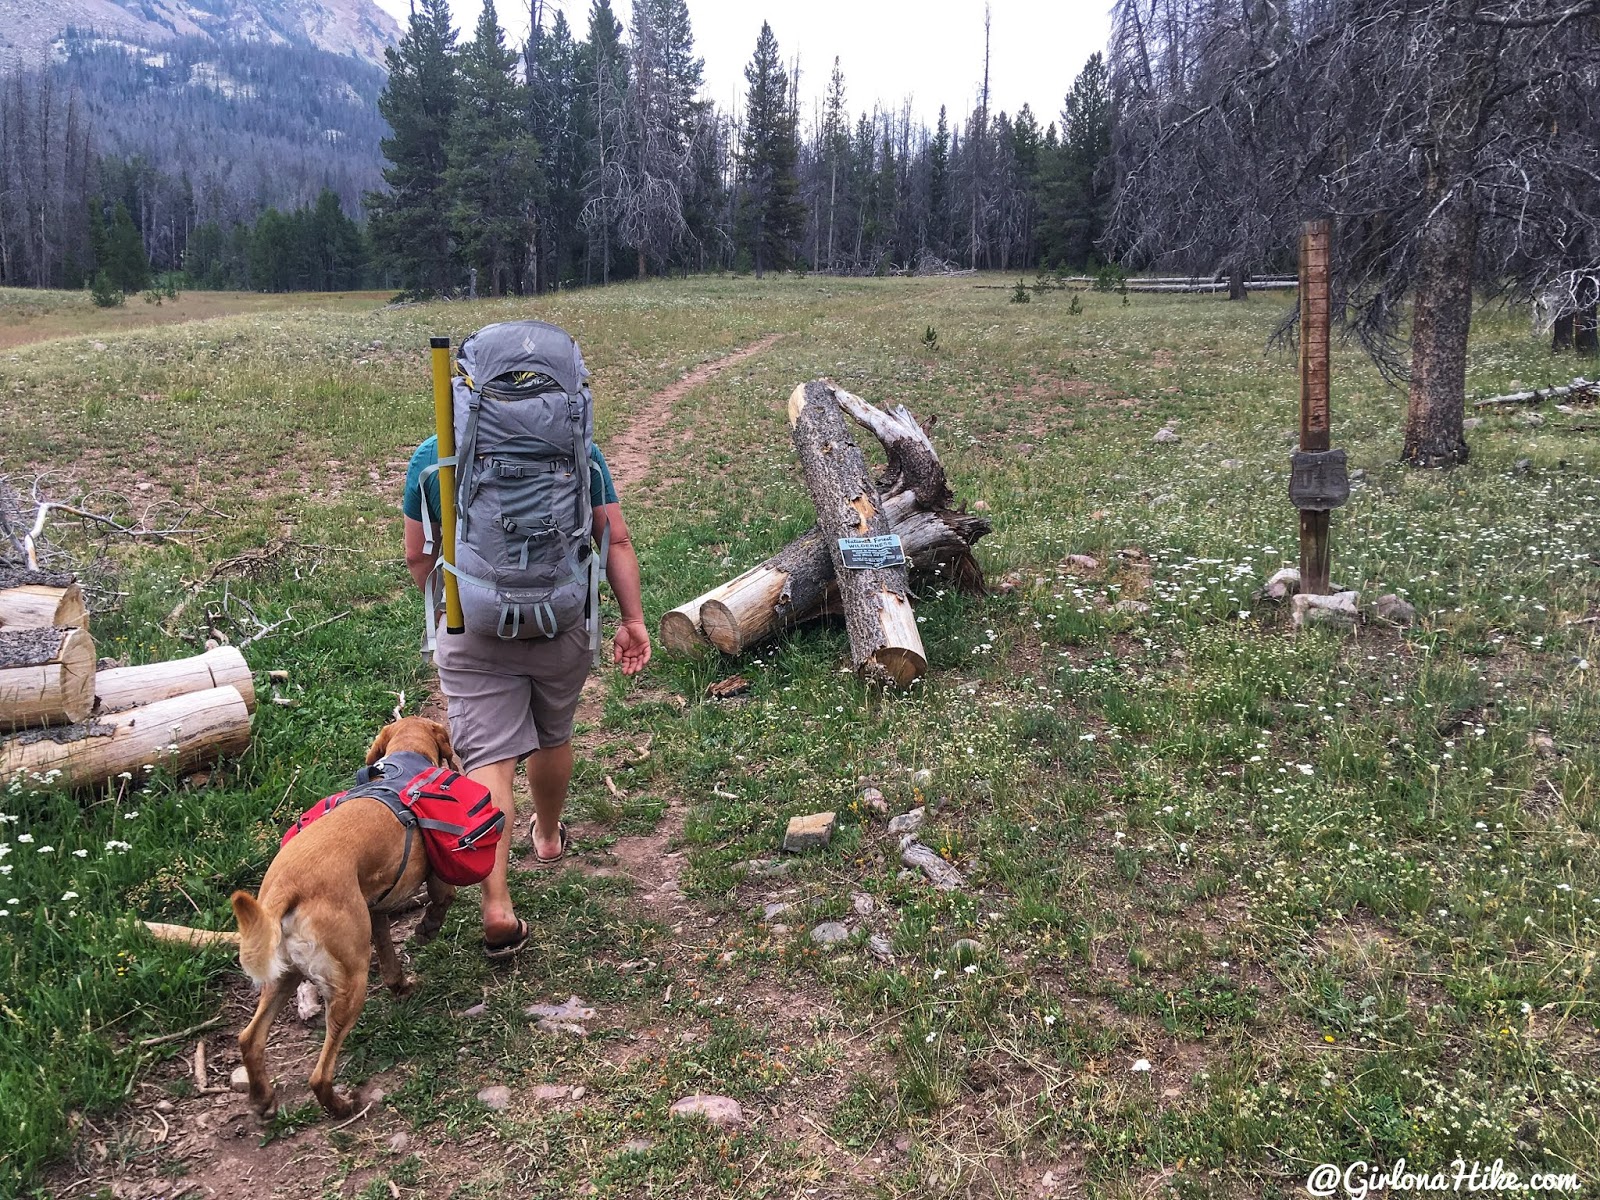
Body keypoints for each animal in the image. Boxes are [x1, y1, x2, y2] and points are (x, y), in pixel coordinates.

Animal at [230, 720, 464, 1126]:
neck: (406, 759)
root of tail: (287, 888)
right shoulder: (436, 878)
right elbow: (440, 902)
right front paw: (427, 930)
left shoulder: (377, 911)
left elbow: (389, 958)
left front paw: (400, 984)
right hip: (350, 983)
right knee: (319, 1074)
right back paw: (340, 1106)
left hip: (283, 977)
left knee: (250, 1038)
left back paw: (263, 1101)